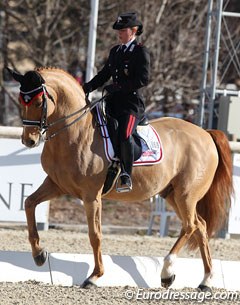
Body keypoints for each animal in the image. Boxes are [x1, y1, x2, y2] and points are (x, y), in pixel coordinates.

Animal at [7, 66, 232, 290]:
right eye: (21, 100)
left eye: (38, 102)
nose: (29, 140)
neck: (76, 133)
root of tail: (205, 133)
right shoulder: (56, 185)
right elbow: (29, 203)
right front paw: (39, 254)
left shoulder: (91, 196)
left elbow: (95, 235)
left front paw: (94, 276)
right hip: (172, 195)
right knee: (200, 226)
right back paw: (205, 280)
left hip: (186, 194)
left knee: (190, 225)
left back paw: (167, 272)